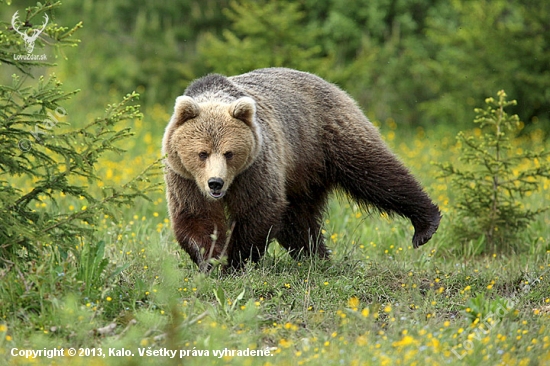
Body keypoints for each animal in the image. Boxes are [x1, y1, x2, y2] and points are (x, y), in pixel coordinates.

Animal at [162, 67, 442, 270]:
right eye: (202, 153)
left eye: (229, 153)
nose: (215, 183)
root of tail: (330, 84)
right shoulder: (184, 178)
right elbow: (196, 216)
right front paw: (211, 260)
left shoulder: (254, 168)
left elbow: (258, 208)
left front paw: (236, 261)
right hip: (301, 174)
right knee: (298, 219)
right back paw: (316, 255)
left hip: (327, 138)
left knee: (376, 173)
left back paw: (425, 224)